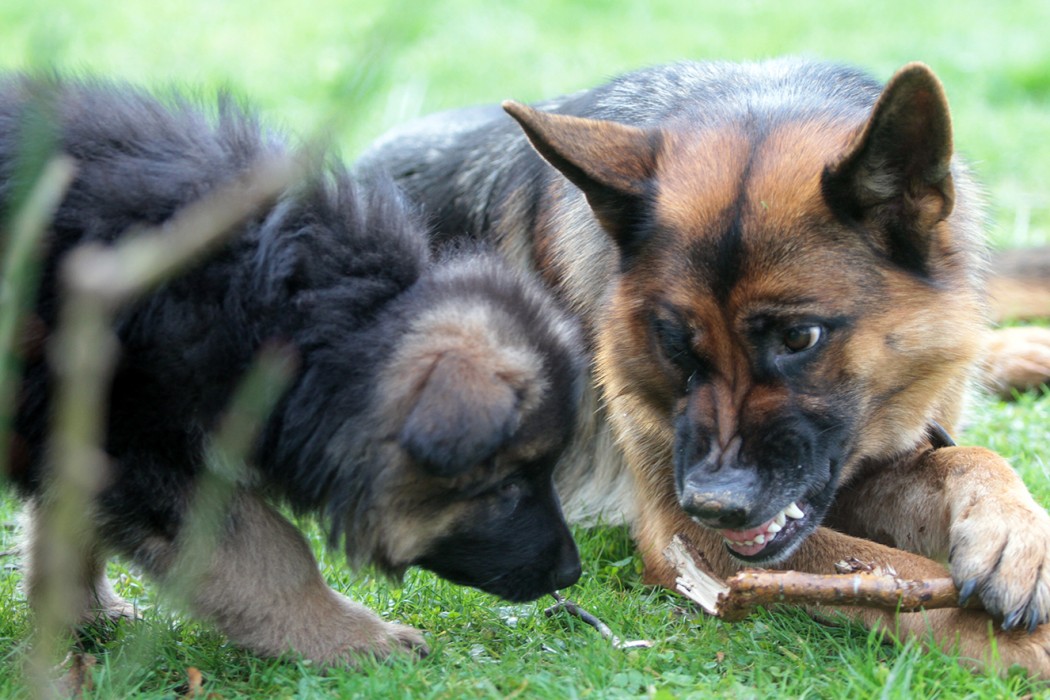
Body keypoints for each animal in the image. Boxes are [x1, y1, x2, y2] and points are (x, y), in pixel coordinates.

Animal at [0, 76, 583, 667]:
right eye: (508, 484)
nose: (571, 573)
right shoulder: (132, 446)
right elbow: (267, 550)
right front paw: (352, 637)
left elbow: (66, 525)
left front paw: (83, 614)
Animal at [359, 58, 1050, 671]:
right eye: (673, 343)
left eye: (800, 337)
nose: (715, 507)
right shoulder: (685, 535)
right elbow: (896, 573)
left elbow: (966, 457)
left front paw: (1016, 533)